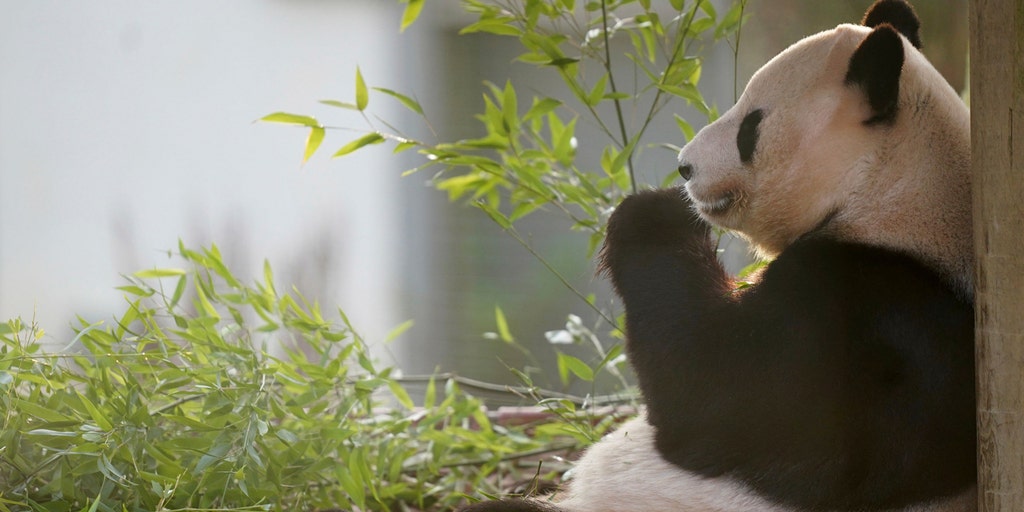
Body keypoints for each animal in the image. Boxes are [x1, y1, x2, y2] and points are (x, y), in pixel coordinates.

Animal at [461, 1, 975, 511]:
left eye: (750, 126)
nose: (684, 167)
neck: (891, 193)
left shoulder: (863, 307)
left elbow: (715, 395)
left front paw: (652, 213)